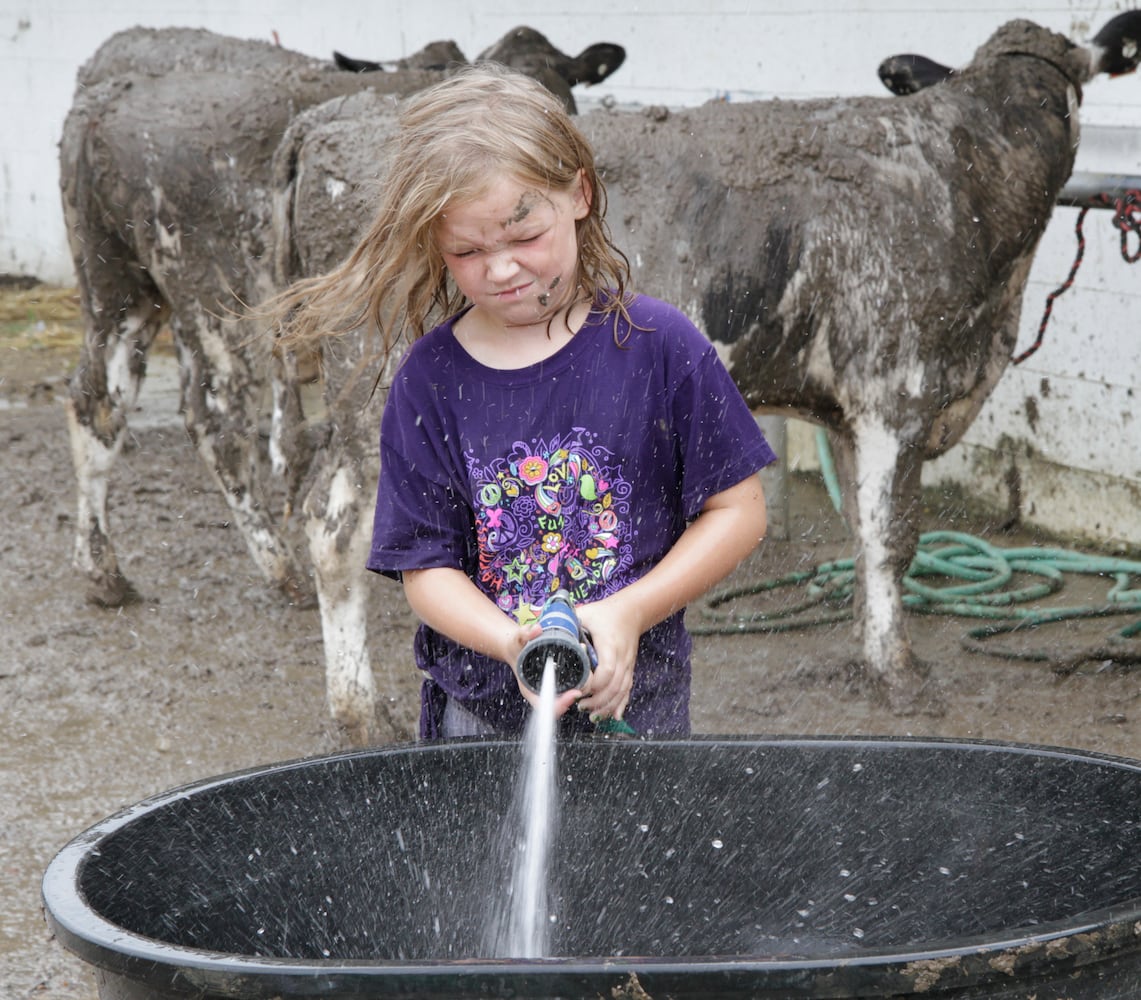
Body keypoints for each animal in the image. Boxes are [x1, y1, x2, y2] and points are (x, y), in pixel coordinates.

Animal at [61, 23, 629, 744]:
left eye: (561, 80)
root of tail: (105, 104)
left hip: (114, 282)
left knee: (96, 403)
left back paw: (103, 571)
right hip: (218, 300)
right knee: (218, 423)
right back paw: (286, 577)